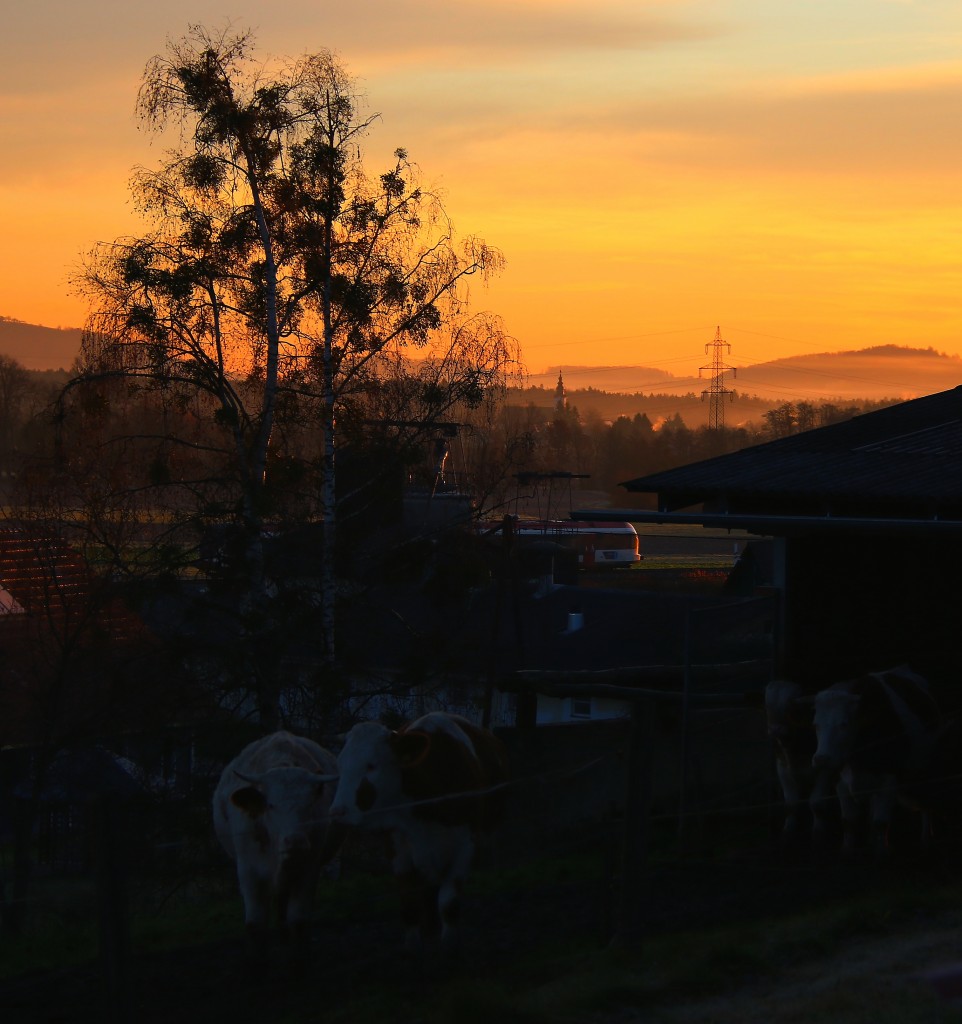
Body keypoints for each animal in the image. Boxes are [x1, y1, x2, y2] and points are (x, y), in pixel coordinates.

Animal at [212, 729, 340, 958]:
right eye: (270, 805)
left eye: (310, 803)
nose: (296, 841)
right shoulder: (248, 871)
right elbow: (255, 925)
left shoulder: (309, 868)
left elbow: (298, 919)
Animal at [329, 712, 512, 950]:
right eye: (340, 765)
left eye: (371, 765)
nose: (337, 812)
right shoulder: (398, 847)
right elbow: (410, 904)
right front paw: (413, 945)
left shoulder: (466, 847)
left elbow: (448, 903)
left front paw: (449, 944)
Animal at [811, 663, 938, 856]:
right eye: (816, 725)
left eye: (844, 724)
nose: (821, 759)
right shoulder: (840, 781)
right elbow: (849, 821)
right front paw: (848, 850)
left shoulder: (889, 779)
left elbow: (880, 822)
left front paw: (881, 851)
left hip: (927, 767)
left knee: (926, 802)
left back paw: (926, 840)